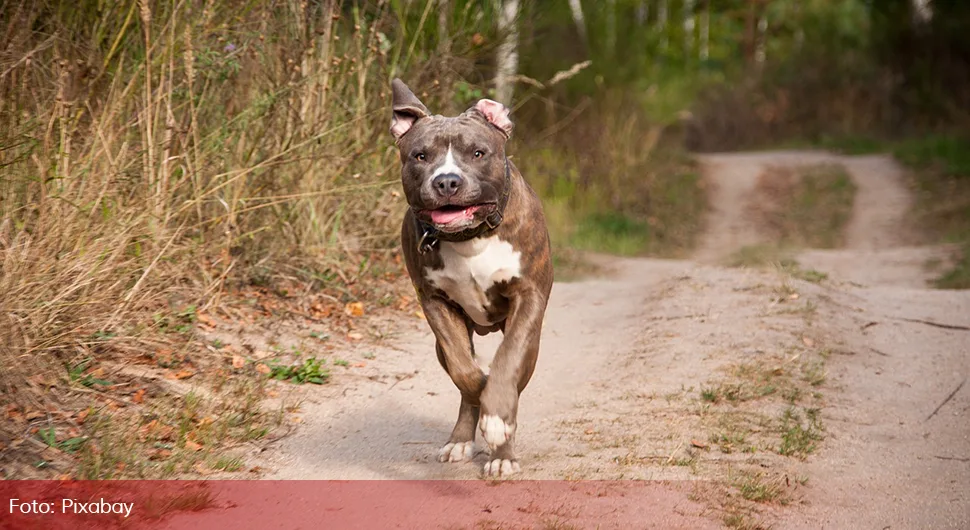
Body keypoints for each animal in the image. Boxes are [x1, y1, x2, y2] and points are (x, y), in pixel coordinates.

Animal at [388, 80, 552, 476]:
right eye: (420, 156)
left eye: (478, 153)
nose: (447, 181)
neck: (470, 238)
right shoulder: (434, 303)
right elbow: (465, 372)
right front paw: (483, 401)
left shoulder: (528, 298)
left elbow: (507, 362)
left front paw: (498, 421)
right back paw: (463, 438)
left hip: (533, 341)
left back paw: (502, 453)